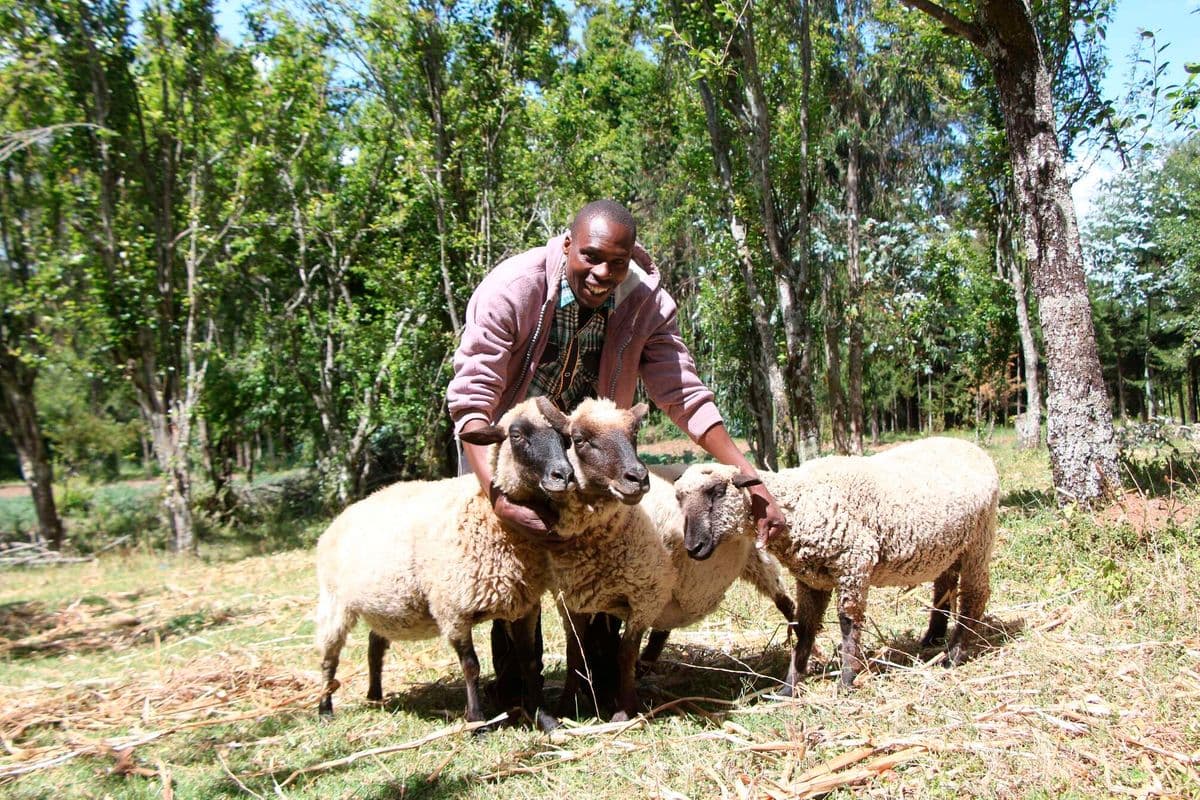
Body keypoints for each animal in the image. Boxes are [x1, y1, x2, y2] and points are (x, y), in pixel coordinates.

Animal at [312, 397, 573, 731]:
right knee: (329, 656)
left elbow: (529, 662)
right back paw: (325, 709)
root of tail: (343, 516)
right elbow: (471, 667)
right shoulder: (452, 609)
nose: (563, 475)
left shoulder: (524, 606)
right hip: (334, 602)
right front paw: (477, 723)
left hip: (385, 604)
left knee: (374, 646)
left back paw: (375, 696)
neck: (489, 518)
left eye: (566, 438)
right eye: (516, 435)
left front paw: (545, 718)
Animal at [675, 436, 1000, 692]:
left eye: (717, 491)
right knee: (945, 584)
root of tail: (975, 449)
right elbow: (804, 628)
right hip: (950, 546)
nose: (694, 547)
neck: (800, 503)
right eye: (679, 499)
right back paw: (933, 638)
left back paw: (954, 655)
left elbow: (848, 624)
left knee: (976, 594)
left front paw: (846, 680)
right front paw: (789, 688)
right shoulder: (811, 580)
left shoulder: (854, 562)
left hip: (979, 540)